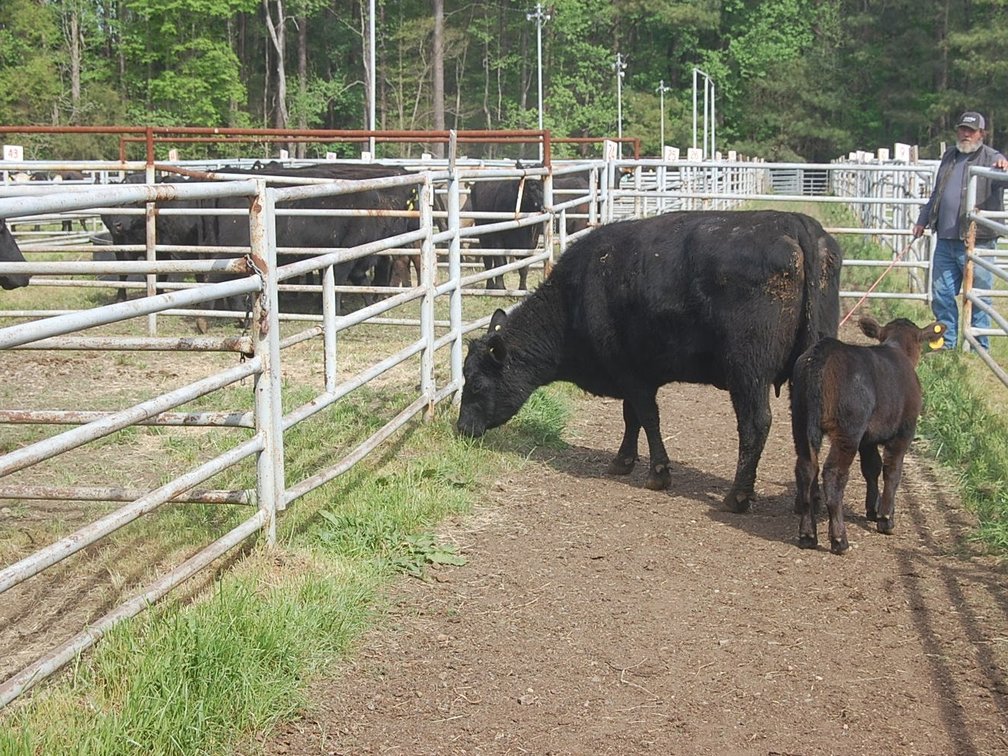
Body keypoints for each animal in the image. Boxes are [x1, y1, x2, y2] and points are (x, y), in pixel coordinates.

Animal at [457, 210, 842, 513]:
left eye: (475, 383)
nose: (461, 429)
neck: (578, 294)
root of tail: (794, 223)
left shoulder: (632, 374)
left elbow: (647, 418)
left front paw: (658, 473)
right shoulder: (632, 375)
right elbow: (632, 419)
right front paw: (623, 461)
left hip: (748, 372)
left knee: (755, 425)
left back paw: (737, 497)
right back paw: (807, 501)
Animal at [790, 316, 946, 554]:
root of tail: (823, 352)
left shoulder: (868, 438)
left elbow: (871, 468)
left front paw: (872, 509)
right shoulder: (904, 432)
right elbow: (892, 471)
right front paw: (886, 518)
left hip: (800, 421)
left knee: (806, 469)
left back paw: (807, 535)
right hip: (848, 430)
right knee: (833, 475)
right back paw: (839, 540)